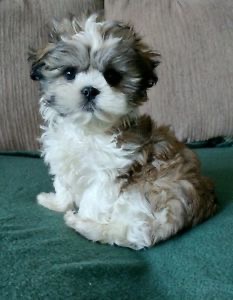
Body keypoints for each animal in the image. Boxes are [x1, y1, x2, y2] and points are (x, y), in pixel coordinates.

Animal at [29, 14, 217, 248]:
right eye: (69, 73)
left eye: (112, 76)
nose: (89, 90)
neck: (88, 130)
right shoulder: (62, 158)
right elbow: (63, 185)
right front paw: (55, 202)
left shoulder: (108, 173)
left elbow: (93, 200)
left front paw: (83, 216)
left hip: (143, 192)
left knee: (130, 233)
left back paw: (82, 224)